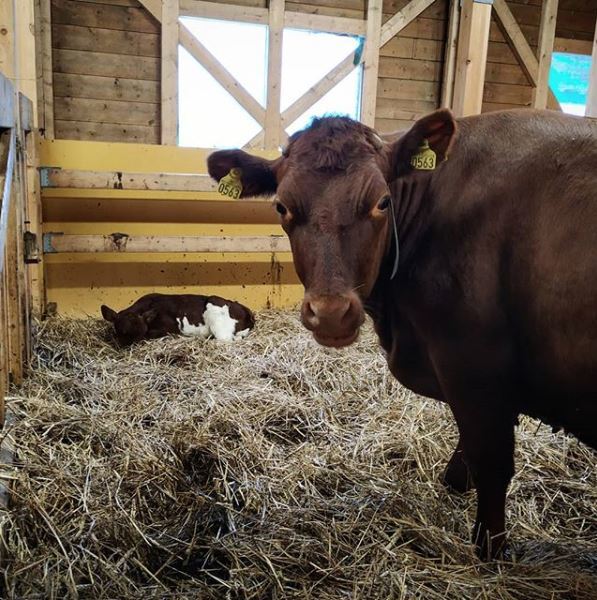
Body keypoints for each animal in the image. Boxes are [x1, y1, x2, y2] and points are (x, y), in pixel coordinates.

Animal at [206, 110, 596, 560]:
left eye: (382, 202)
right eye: (281, 206)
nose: (331, 313)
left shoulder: (475, 368)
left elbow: (492, 461)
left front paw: (489, 549)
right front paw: (455, 483)